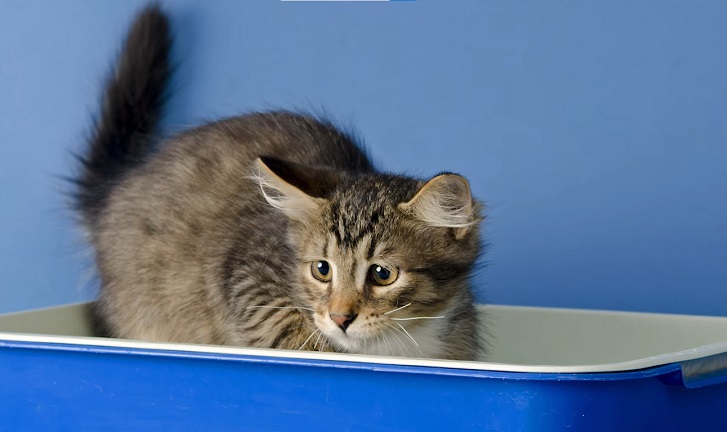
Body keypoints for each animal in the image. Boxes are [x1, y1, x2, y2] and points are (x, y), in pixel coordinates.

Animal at [75, 5, 484, 362]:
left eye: (383, 274)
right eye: (322, 269)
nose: (340, 317)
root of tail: (116, 188)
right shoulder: (246, 277)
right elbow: (287, 327)